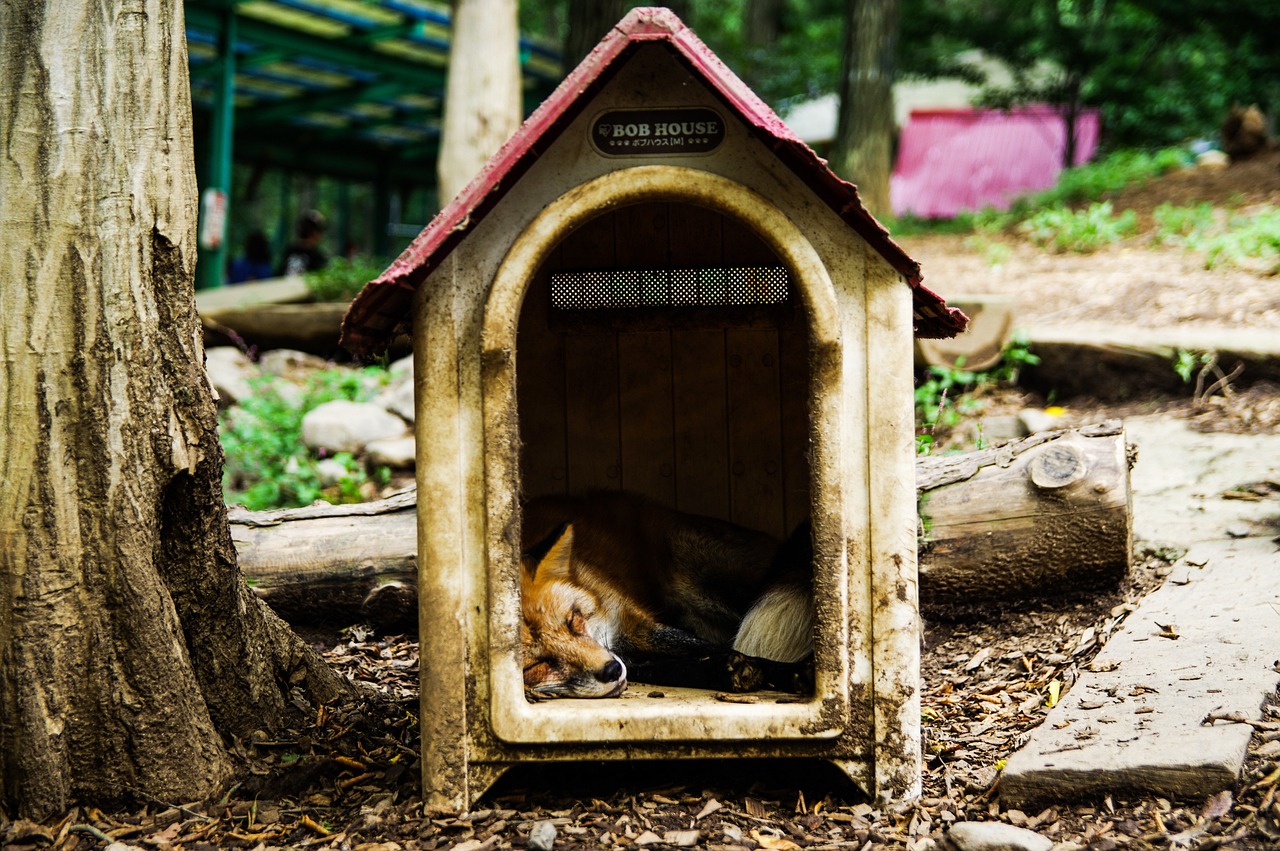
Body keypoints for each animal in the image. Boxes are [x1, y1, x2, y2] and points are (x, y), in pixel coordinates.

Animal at [517, 491, 808, 696]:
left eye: (573, 620)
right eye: (534, 666)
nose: (610, 670)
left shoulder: (630, 619)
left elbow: (710, 646)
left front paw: (792, 671)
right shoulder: (620, 652)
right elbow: (667, 669)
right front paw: (720, 671)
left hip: (706, 587)